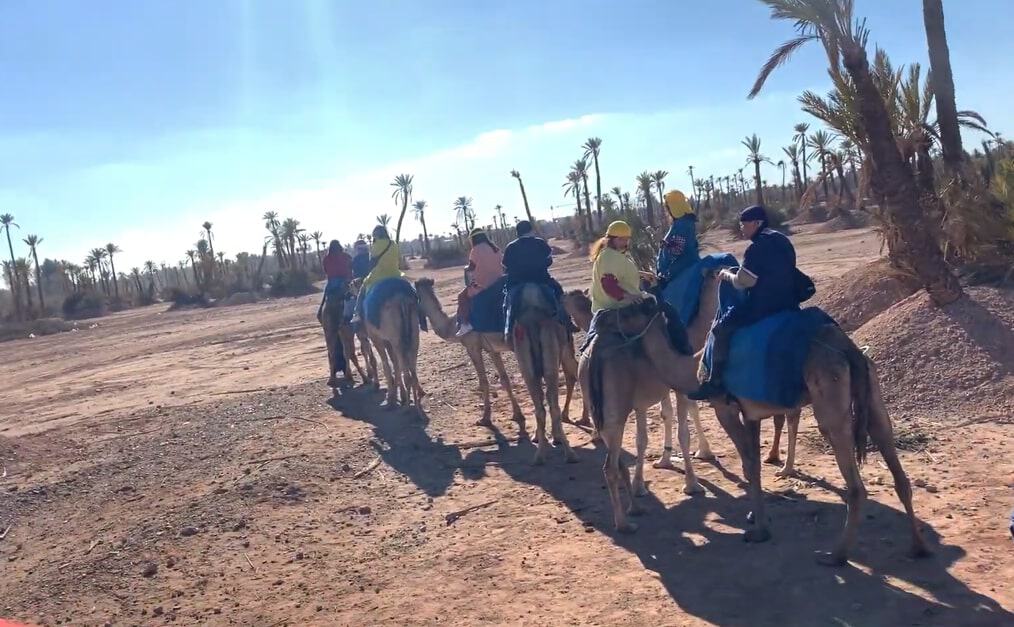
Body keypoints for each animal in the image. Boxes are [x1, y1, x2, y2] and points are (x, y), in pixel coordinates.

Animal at [415, 277, 580, 464]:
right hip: (561, 344)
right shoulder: (491, 349)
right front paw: (518, 415)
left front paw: (485, 419)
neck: (452, 326)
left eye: (416, 297)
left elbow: (484, 382)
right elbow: (504, 380)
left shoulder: (473, 346)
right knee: (571, 372)